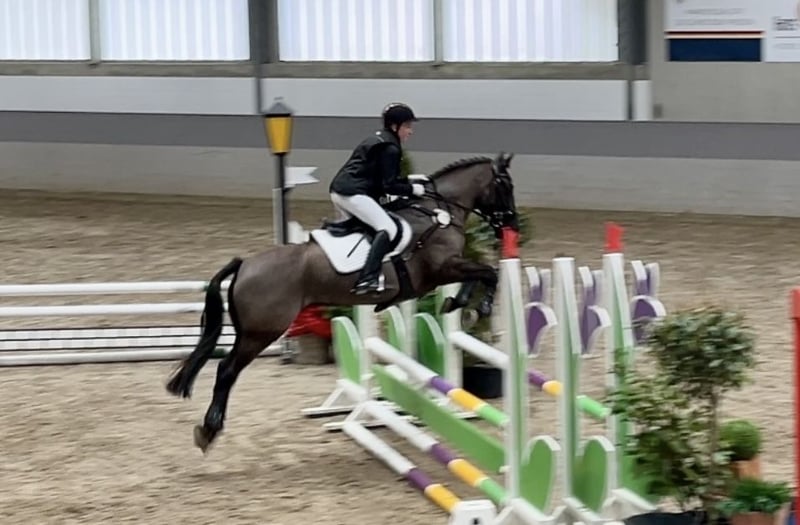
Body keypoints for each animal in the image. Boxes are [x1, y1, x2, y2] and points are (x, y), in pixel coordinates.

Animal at [165, 151, 520, 453]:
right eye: (505, 185)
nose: (513, 224)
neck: (437, 213)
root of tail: (245, 264)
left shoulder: (447, 269)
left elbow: (481, 273)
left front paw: (458, 304)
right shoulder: (442, 268)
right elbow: (488, 272)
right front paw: (477, 307)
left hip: (250, 330)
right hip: (261, 332)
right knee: (227, 370)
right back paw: (209, 431)